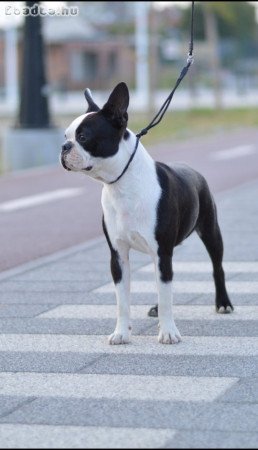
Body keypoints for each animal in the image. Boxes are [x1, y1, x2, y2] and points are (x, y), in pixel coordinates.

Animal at [60, 81, 234, 344]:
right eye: (65, 136)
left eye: (83, 137)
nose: (64, 146)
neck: (121, 185)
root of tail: (192, 169)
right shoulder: (119, 255)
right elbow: (123, 300)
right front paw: (121, 333)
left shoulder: (162, 250)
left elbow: (167, 292)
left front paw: (169, 332)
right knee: (163, 281)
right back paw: (155, 307)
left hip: (210, 232)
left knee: (216, 267)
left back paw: (223, 303)